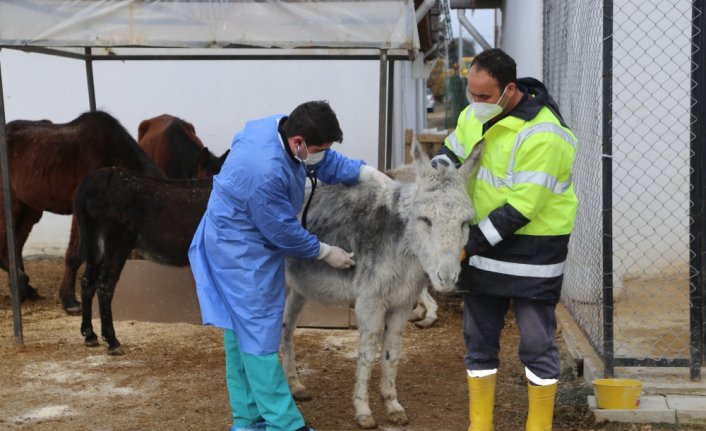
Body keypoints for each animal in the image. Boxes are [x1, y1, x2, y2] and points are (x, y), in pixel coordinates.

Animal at [2, 112, 164, 314]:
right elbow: (75, 254)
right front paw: (70, 301)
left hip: (29, 208)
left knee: (15, 243)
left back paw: (23, 289)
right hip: (9, 202)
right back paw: (21, 282)